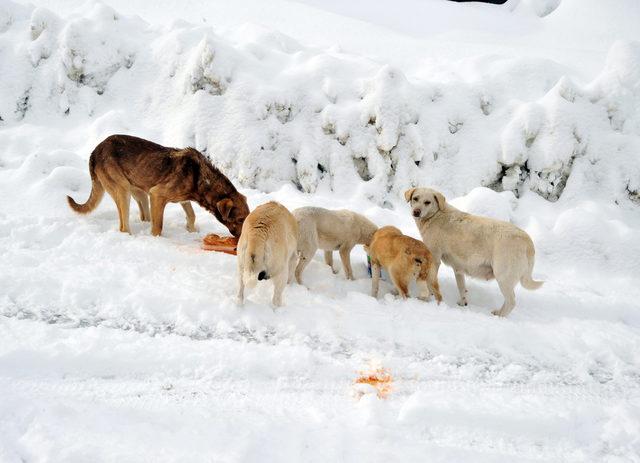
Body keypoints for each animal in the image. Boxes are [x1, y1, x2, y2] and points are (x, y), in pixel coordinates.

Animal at [67, 133, 248, 236]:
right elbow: (158, 226)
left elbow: (191, 215)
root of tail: (94, 152)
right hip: (123, 191)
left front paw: (191, 230)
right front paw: (156, 239)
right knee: (124, 226)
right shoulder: (157, 195)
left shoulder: (183, 199)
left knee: (144, 217)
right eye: (240, 219)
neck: (200, 178)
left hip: (140, 193)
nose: (241, 240)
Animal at [404, 187, 540, 318]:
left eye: (427, 202)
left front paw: (425, 298)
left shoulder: (435, 258)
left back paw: (499, 316)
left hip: (503, 278)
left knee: (511, 302)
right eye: (415, 198)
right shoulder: (458, 269)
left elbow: (429, 281)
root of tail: (528, 241)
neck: (435, 216)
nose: (416, 212)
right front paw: (462, 303)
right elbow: (462, 288)